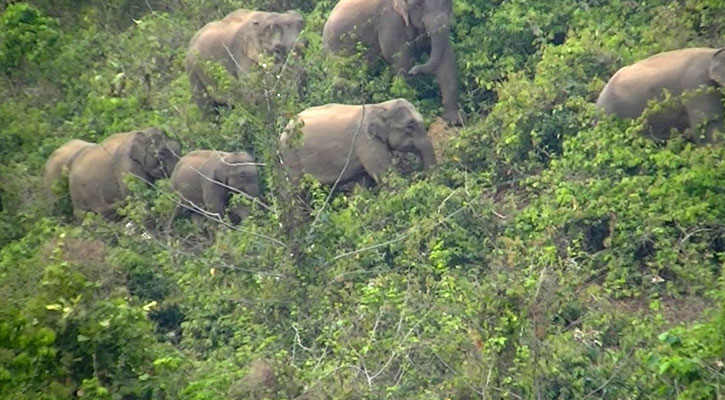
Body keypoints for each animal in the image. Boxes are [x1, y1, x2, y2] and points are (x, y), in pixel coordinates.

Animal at [320, 0, 458, 125]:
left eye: (448, 3)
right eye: (417, 4)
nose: (414, 72)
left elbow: (446, 58)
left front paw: (454, 121)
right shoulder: (390, 21)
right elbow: (400, 58)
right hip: (336, 50)